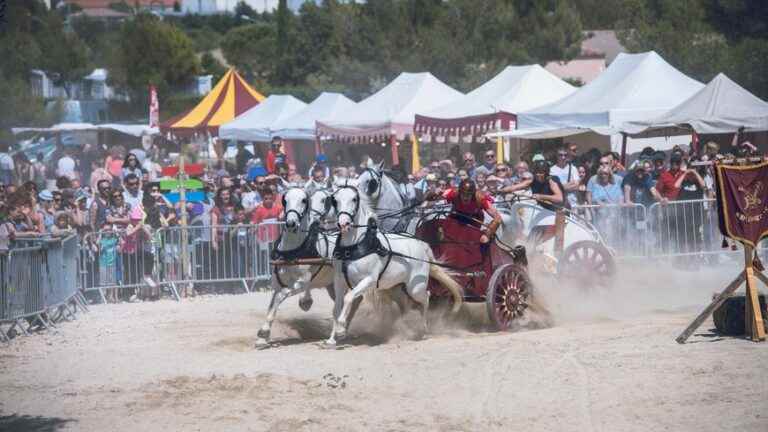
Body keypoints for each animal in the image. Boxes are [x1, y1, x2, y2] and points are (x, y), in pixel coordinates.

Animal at [324, 184, 462, 346]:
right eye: (335, 200)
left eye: (354, 199)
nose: (343, 224)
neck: (355, 245)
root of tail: (421, 245)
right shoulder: (339, 280)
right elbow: (336, 308)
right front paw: (332, 339)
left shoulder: (369, 280)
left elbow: (349, 298)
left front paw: (341, 330)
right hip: (395, 287)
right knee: (405, 304)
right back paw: (403, 325)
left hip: (414, 288)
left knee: (426, 298)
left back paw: (423, 330)